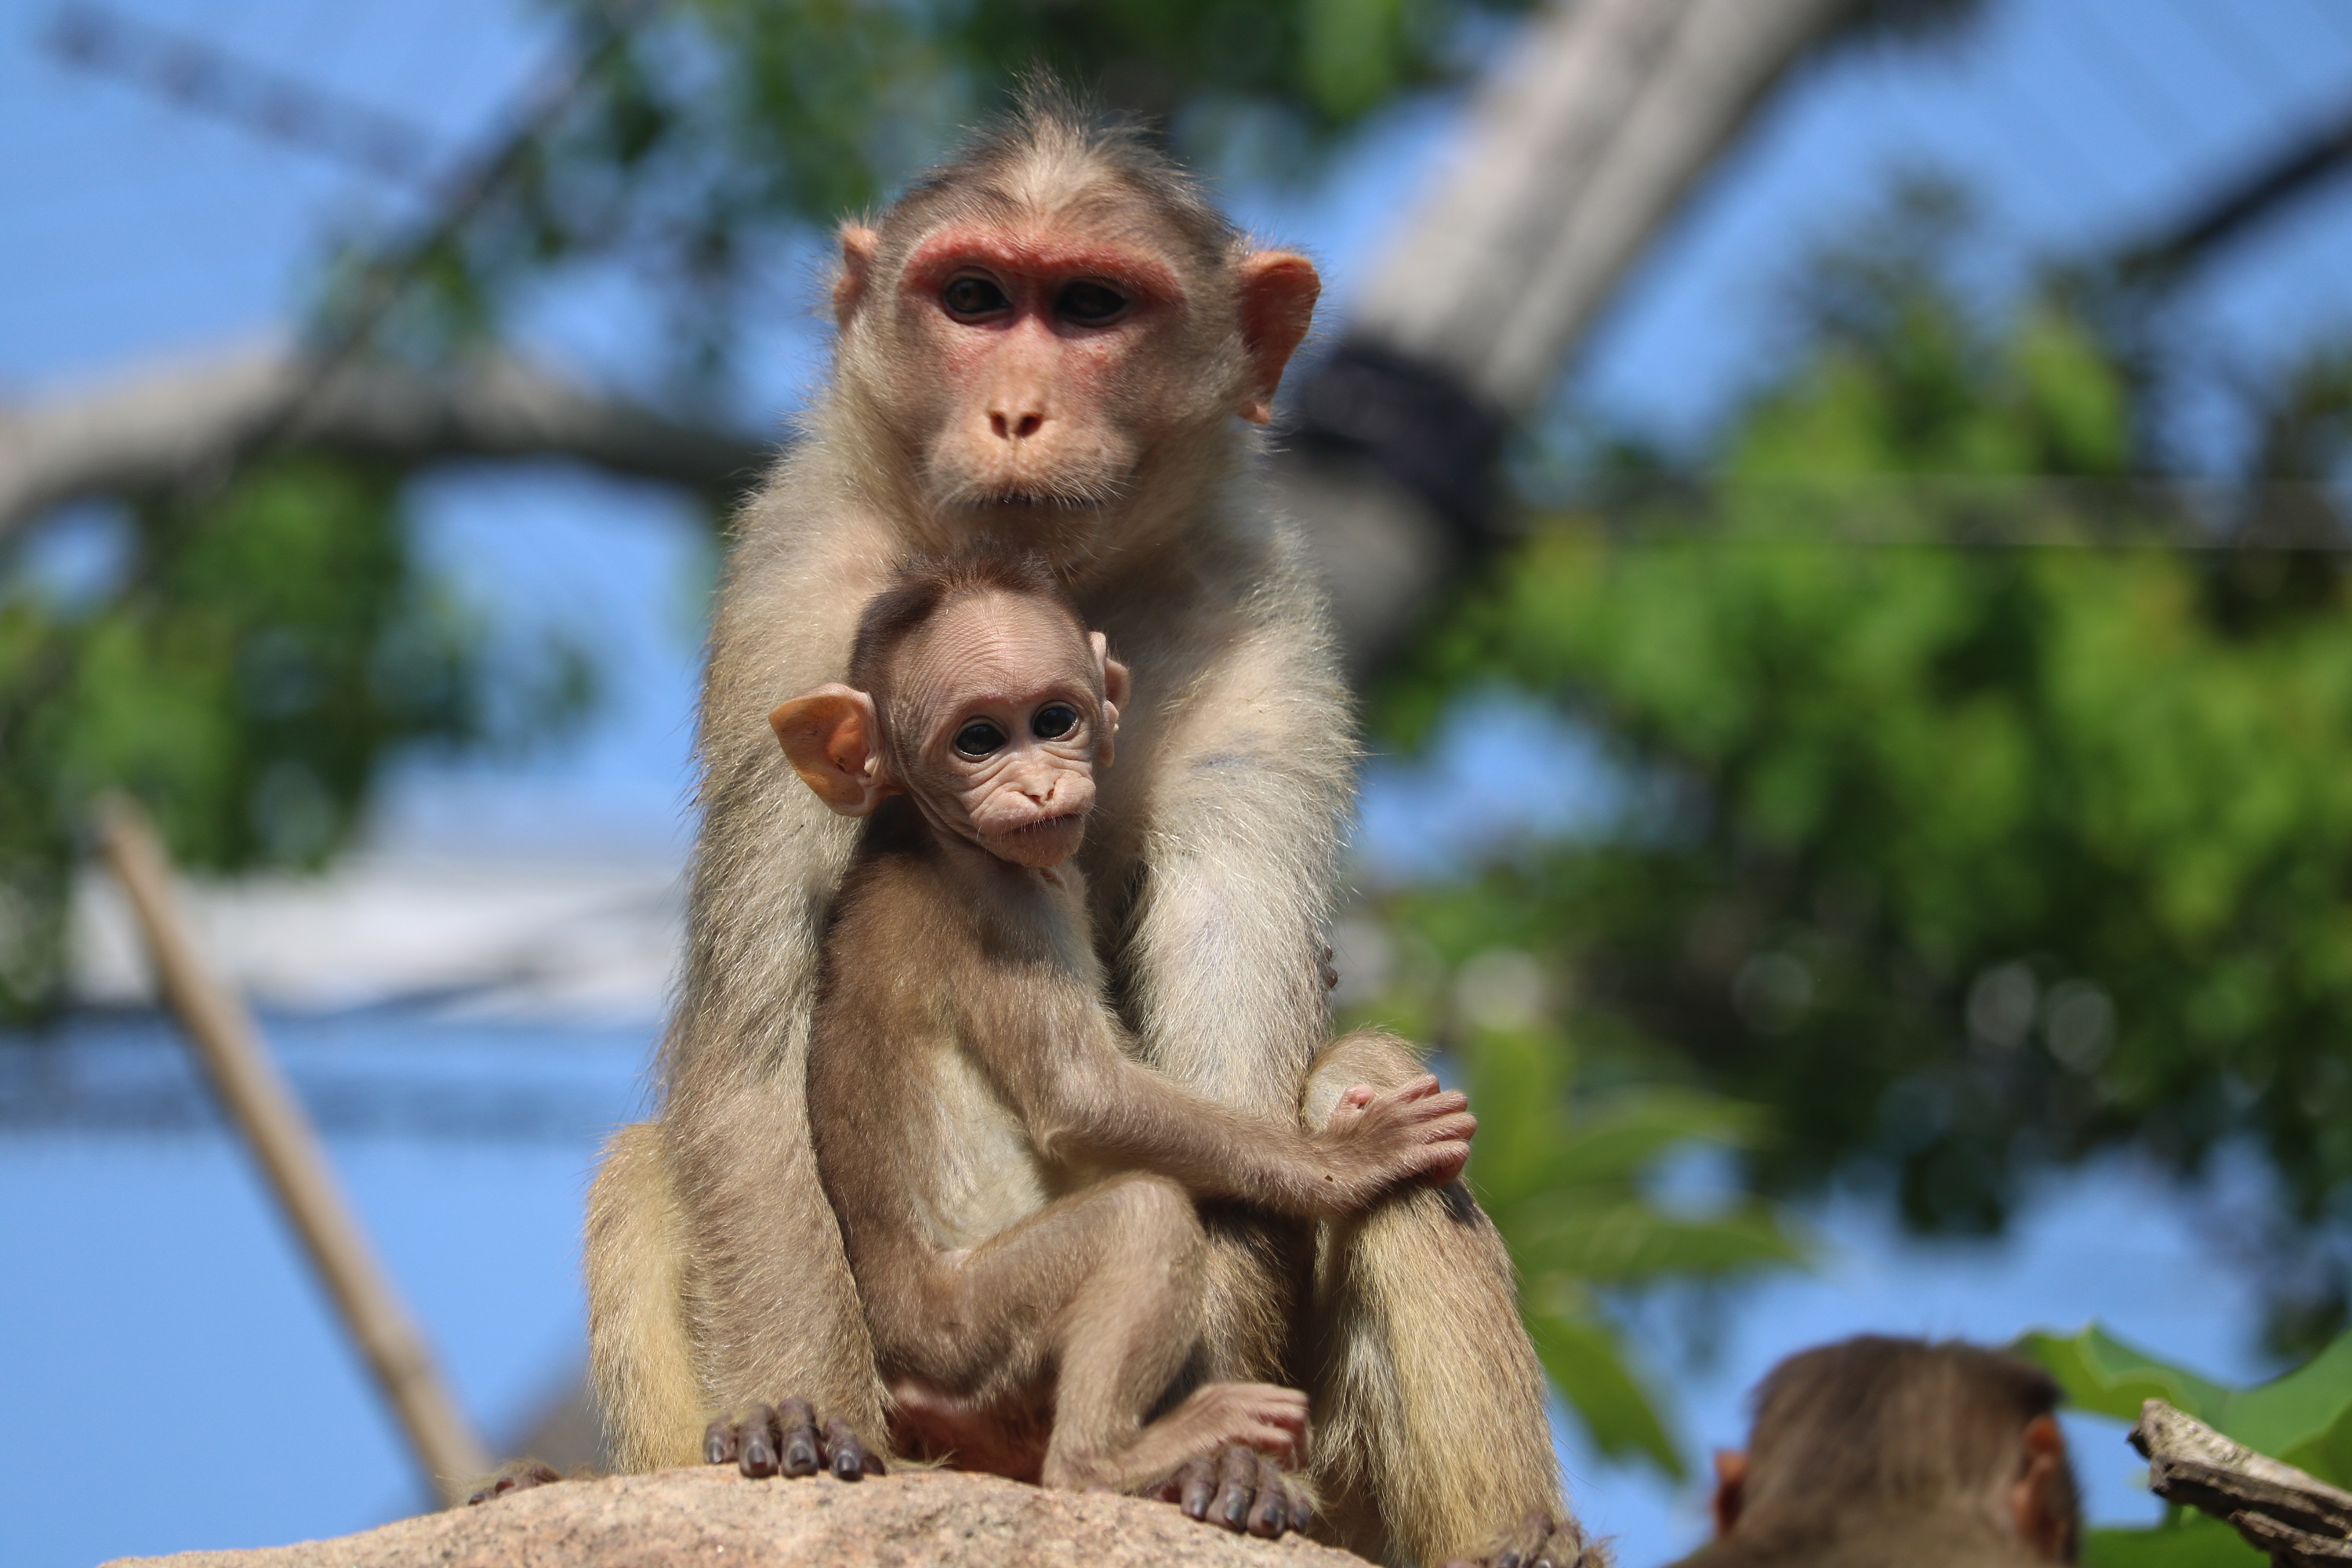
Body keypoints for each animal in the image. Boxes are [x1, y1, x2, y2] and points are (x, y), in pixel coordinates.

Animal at [748, 552, 1486, 1533]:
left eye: (1054, 720)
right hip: (962, 1330)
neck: (931, 831)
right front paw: (1350, 1160)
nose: (1038, 786)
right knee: (1140, 1216)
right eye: (976, 739)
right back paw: (1108, 1456)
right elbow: (1081, 1097)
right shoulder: (1005, 906)